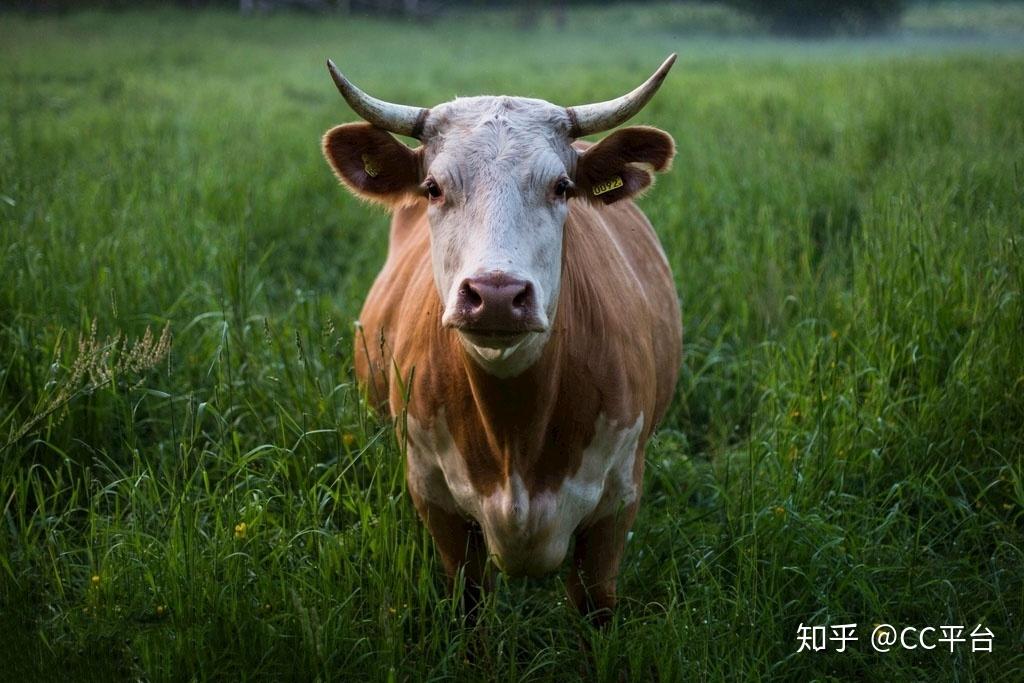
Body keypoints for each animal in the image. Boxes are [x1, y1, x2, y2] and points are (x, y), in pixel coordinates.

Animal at [323, 57, 684, 626]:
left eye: (561, 187)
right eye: (433, 187)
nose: (495, 295)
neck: (516, 432)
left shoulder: (617, 506)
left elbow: (594, 608)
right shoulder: (437, 502)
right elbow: (470, 604)